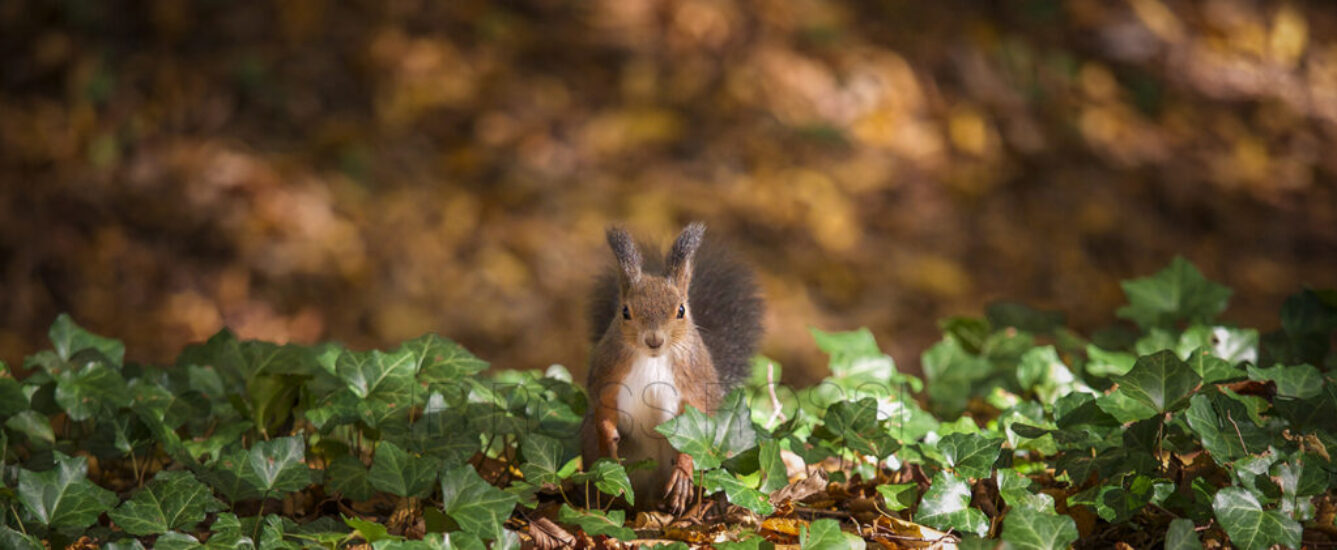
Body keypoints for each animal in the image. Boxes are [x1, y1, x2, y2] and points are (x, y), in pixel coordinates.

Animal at [577, 223, 764, 513]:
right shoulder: (607, 371)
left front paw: (683, 472)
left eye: (681, 310)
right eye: (625, 311)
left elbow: (697, 414)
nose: (654, 340)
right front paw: (609, 441)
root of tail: (653, 496)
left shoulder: (695, 379)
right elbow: (602, 404)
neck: (652, 359)